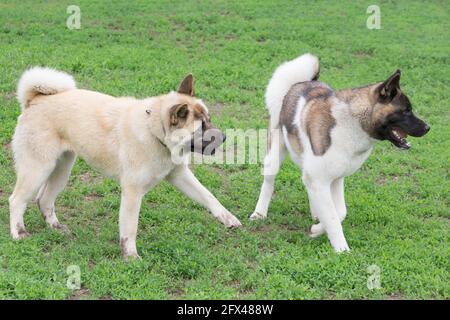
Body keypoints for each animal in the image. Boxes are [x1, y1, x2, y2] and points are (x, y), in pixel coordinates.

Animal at [9, 67, 243, 260]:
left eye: (209, 119)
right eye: (201, 127)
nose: (224, 137)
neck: (154, 132)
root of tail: (36, 100)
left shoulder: (179, 175)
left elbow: (209, 196)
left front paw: (228, 218)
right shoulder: (132, 192)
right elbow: (130, 229)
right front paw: (130, 256)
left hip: (61, 170)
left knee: (44, 200)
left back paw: (55, 226)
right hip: (38, 169)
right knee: (16, 200)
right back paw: (18, 233)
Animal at [251, 53, 430, 252]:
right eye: (406, 111)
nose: (428, 128)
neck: (352, 122)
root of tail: (299, 83)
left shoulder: (335, 179)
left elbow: (340, 213)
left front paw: (317, 228)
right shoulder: (320, 178)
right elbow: (333, 217)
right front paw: (342, 250)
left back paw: (315, 214)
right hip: (274, 156)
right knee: (268, 184)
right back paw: (259, 213)